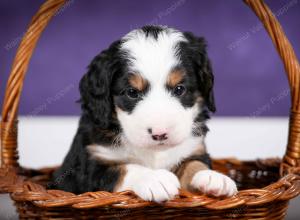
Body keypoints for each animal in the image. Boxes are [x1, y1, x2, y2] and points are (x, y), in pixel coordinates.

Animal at [50, 24, 238, 202]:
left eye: (179, 89)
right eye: (132, 92)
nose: (160, 134)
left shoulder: (194, 149)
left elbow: (195, 164)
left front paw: (212, 177)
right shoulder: (89, 167)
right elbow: (124, 168)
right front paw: (154, 178)